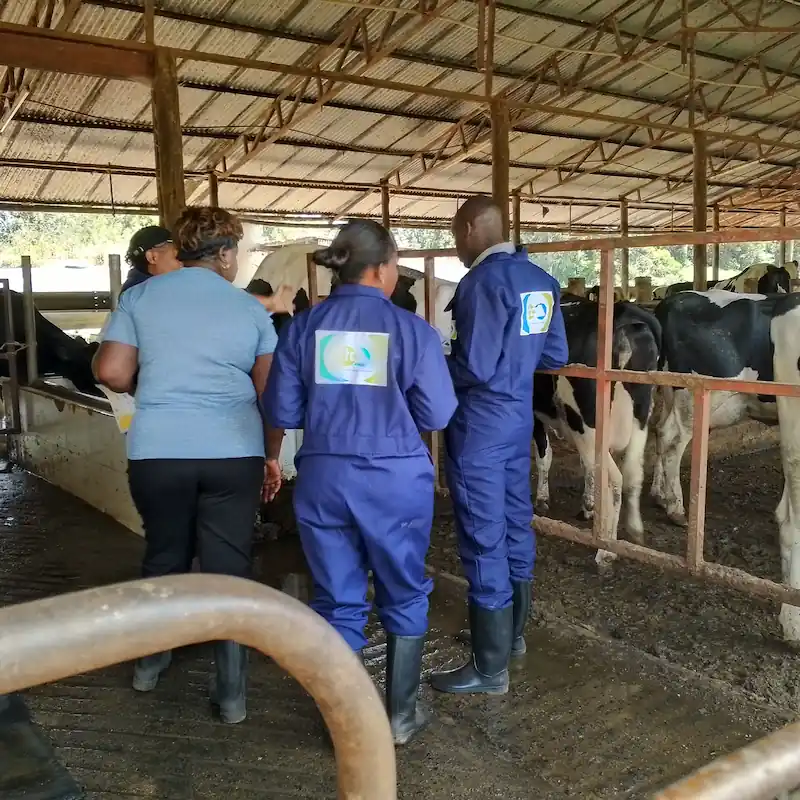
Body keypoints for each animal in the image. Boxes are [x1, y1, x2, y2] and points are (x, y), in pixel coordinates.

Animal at [532, 294, 664, 564]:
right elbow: (586, 466)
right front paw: (588, 506)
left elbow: (544, 456)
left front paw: (542, 499)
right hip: (640, 415)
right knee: (632, 473)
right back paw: (634, 530)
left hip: (588, 421)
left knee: (614, 479)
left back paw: (606, 550)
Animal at [652, 290, 800, 648]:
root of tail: (674, 300)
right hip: (696, 395)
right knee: (672, 440)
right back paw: (676, 508)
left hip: (672, 391)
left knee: (660, 431)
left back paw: (660, 495)